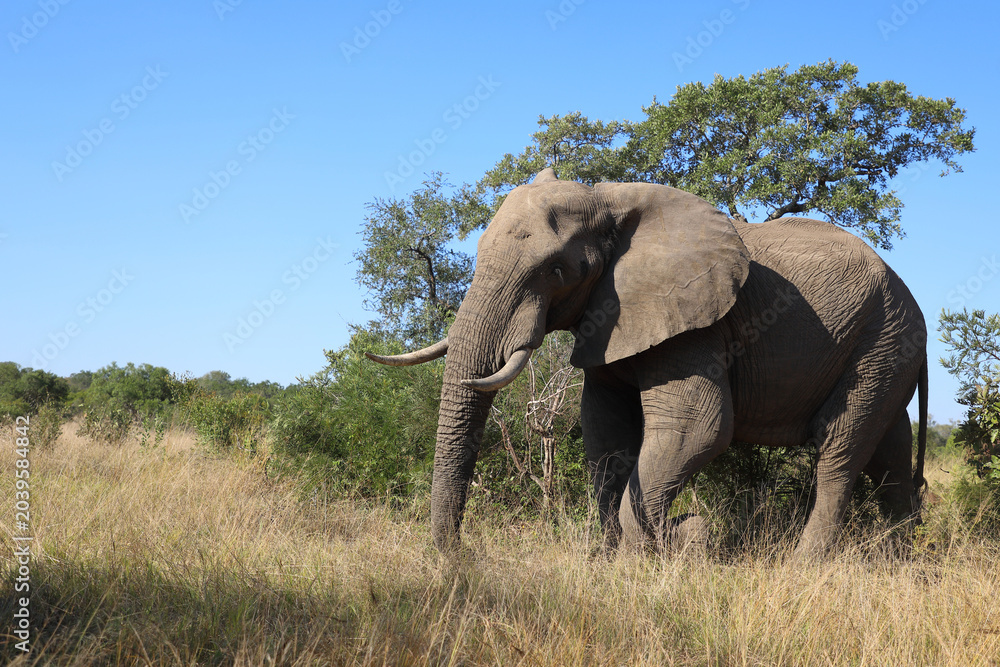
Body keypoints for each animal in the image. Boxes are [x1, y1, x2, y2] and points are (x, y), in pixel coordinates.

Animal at [367, 168, 928, 557]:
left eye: (556, 270)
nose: (460, 557)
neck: (608, 200)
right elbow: (605, 431)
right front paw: (611, 556)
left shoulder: (692, 321)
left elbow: (696, 426)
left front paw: (655, 552)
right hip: (889, 348)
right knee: (890, 455)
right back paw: (903, 564)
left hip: (881, 340)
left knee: (841, 446)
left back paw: (803, 566)